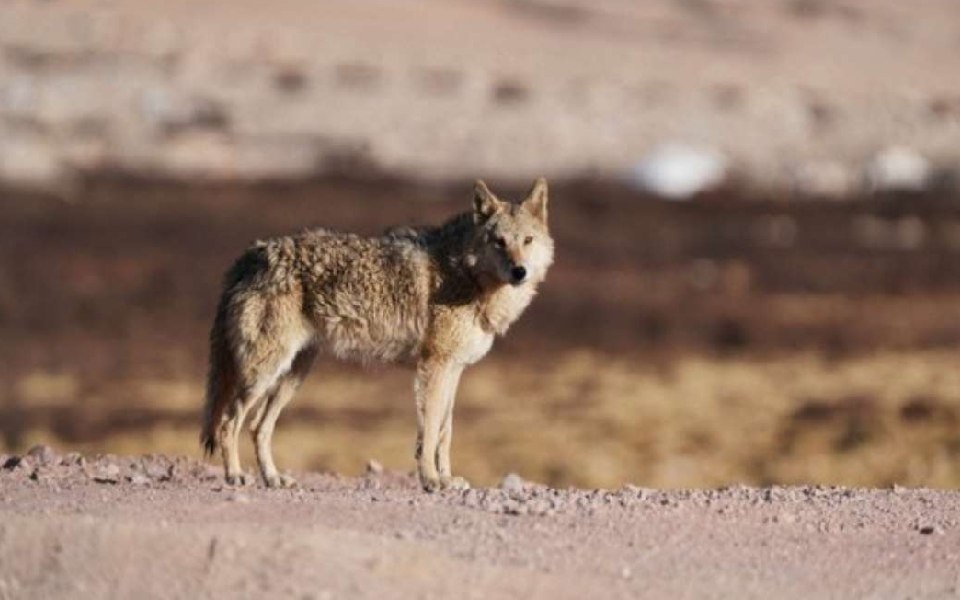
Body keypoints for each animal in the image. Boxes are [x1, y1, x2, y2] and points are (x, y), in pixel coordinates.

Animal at [200, 178, 553, 491]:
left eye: (527, 240)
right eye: (499, 242)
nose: (519, 272)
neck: (467, 275)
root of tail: (252, 254)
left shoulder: (454, 370)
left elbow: (445, 432)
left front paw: (448, 479)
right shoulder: (433, 368)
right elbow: (428, 433)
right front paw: (431, 481)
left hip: (293, 374)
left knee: (258, 427)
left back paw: (273, 479)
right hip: (264, 373)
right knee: (228, 422)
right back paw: (235, 475)